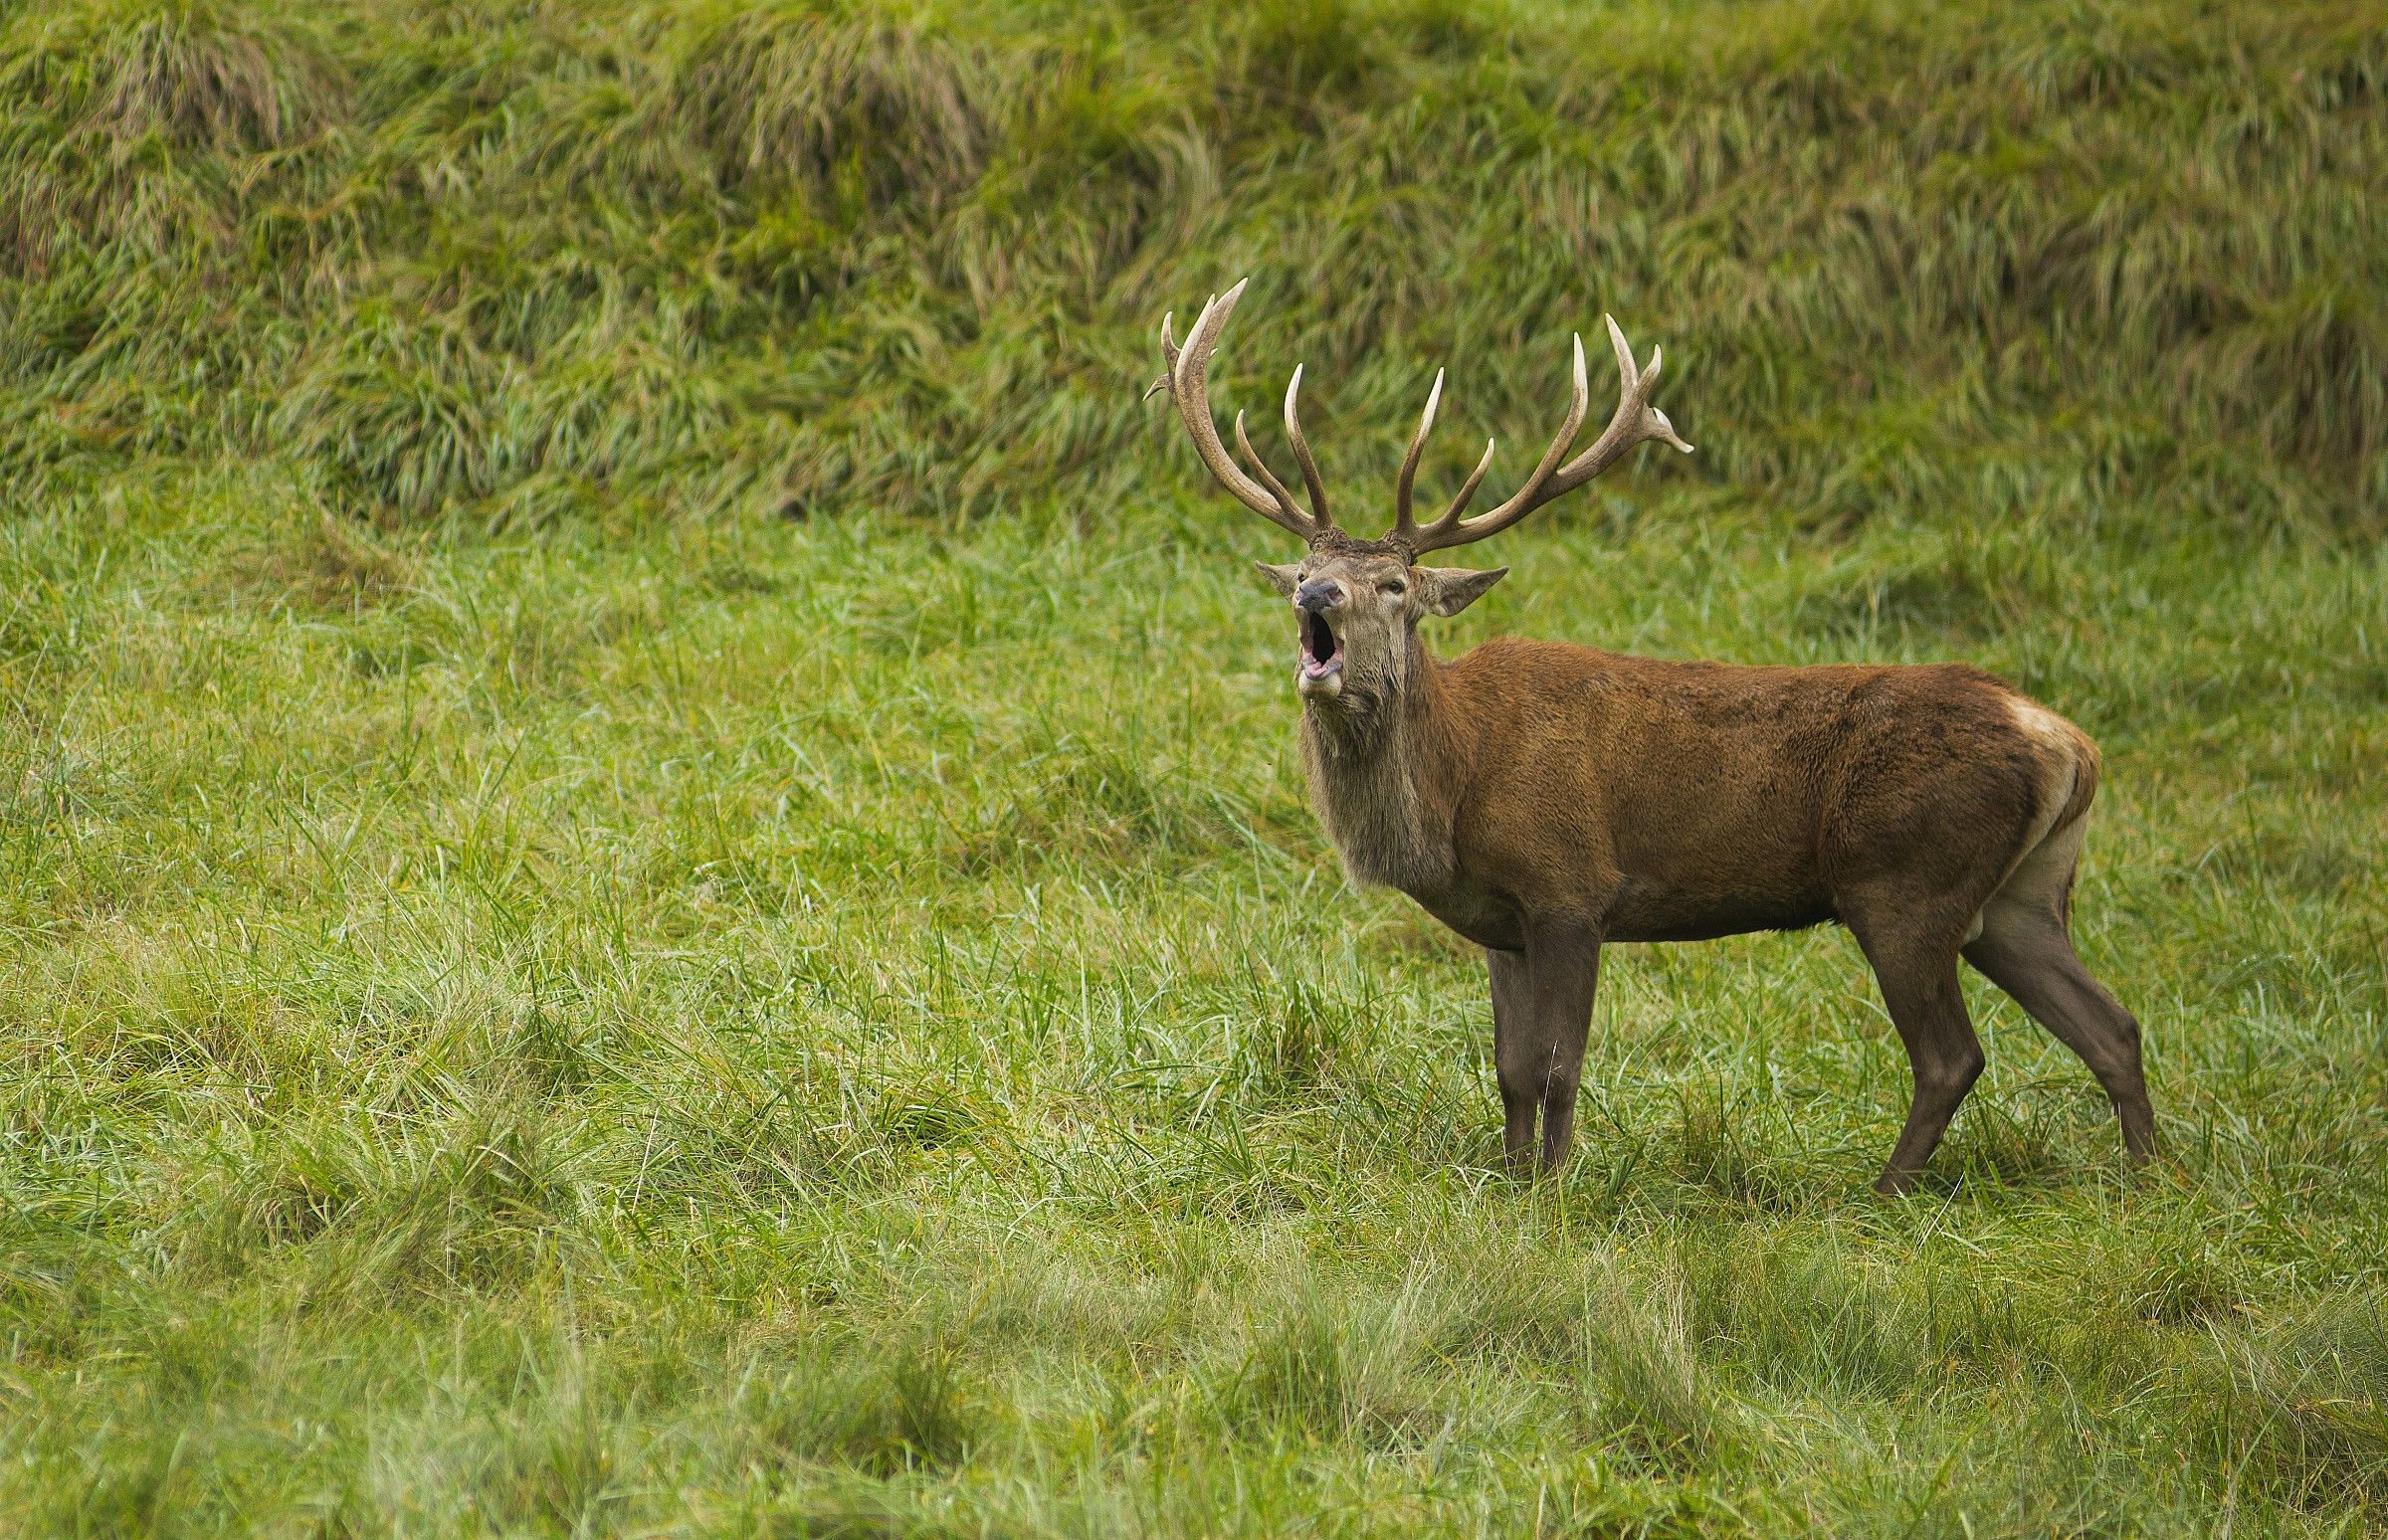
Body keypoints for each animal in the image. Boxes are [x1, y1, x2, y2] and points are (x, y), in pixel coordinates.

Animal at [1147, 278, 2156, 1195]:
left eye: (1393, 585)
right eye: (1303, 572)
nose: (1318, 598)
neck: (1456, 784)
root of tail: (2066, 739)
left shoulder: (1572, 886)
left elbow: (1559, 1067)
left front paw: (1556, 1189)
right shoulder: (1502, 923)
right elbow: (1512, 1070)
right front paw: (1511, 1179)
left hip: (1906, 881)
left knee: (1953, 1055)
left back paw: (1886, 1191)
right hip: (2020, 894)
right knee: (2112, 1024)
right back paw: (2148, 1177)